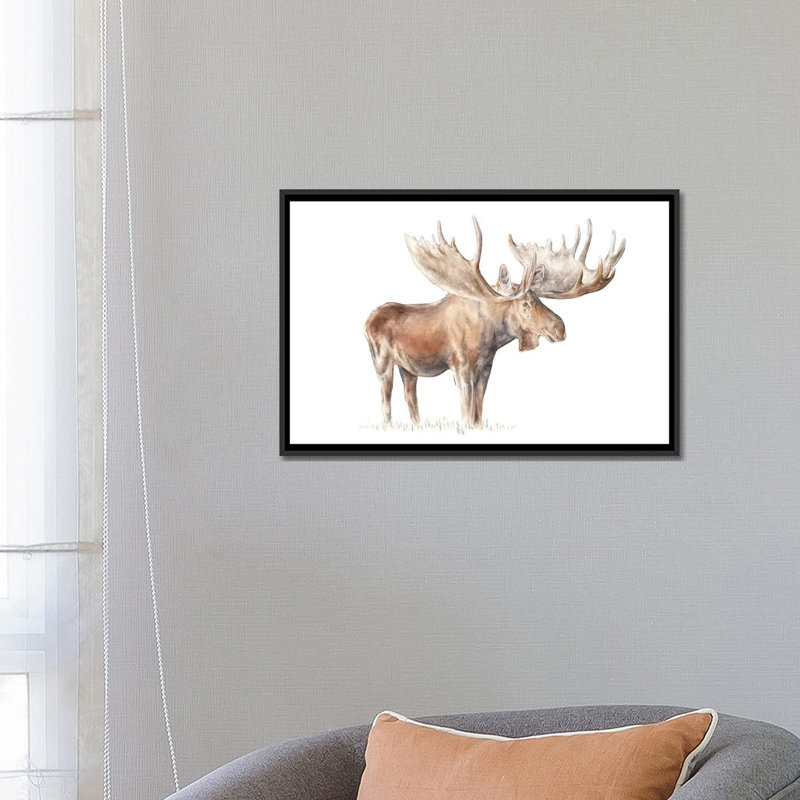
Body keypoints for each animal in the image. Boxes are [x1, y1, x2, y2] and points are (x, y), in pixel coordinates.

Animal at [364, 216, 625, 427]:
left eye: (539, 298)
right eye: (525, 303)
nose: (560, 328)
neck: (490, 338)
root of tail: (367, 321)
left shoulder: (486, 366)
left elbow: (478, 412)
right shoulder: (461, 365)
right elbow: (466, 413)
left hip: (408, 368)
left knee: (410, 398)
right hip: (382, 362)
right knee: (385, 401)